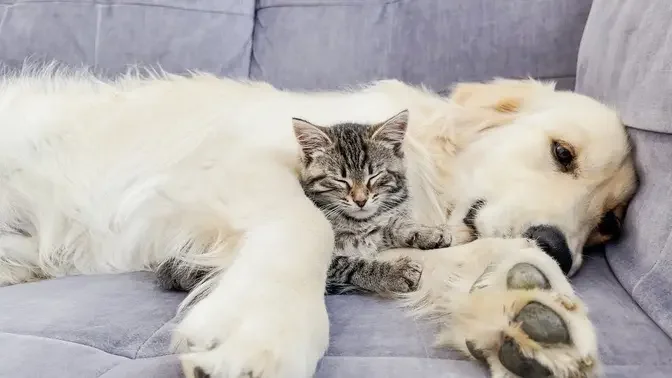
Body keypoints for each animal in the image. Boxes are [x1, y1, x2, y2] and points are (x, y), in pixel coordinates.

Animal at [296, 109, 456, 296]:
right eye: (340, 180)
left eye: (374, 176)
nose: (361, 200)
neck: (358, 222)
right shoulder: (329, 268)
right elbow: (350, 265)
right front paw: (394, 273)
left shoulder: (374, 230)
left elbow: (393, 228)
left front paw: (428, 232)